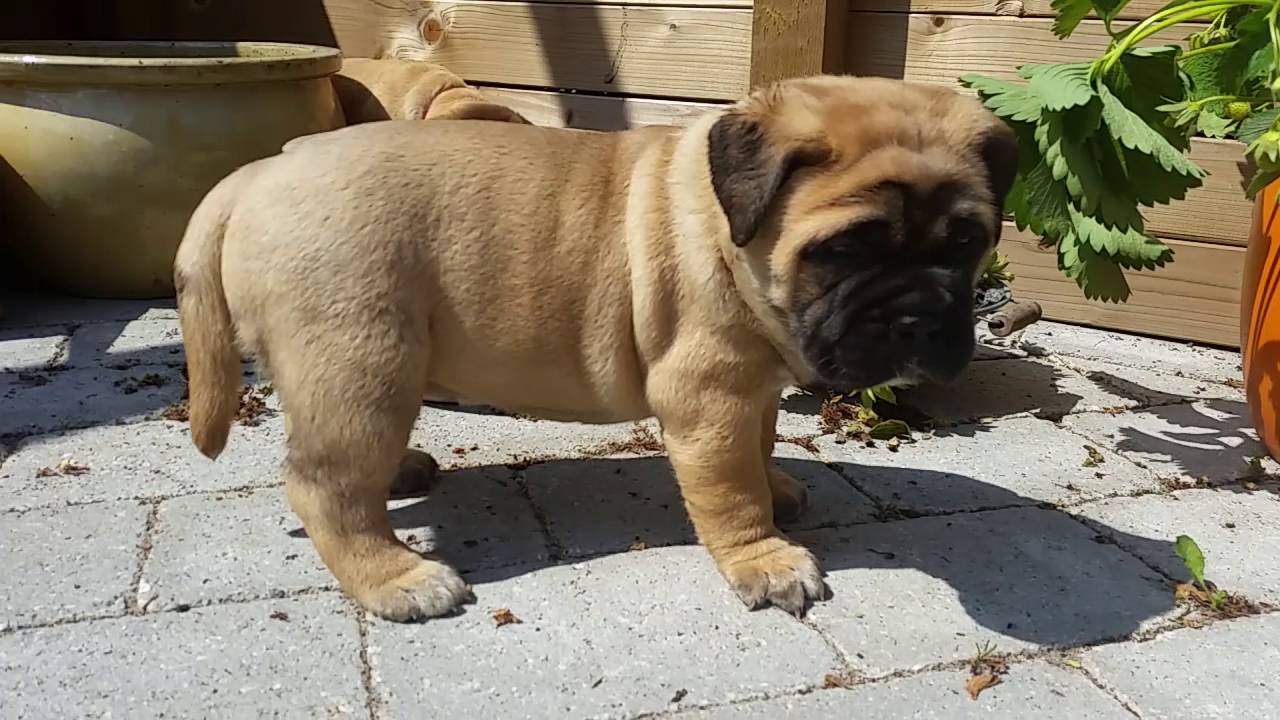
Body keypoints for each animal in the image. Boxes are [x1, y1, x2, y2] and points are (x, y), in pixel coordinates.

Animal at [175, 74, 1013, 622]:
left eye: (966, 243)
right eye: (844, 250)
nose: (918, 319)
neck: (727, 233)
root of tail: (260, 172)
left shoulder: (750, 387)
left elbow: (761, 442)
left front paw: (776, 486)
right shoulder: (708, 397)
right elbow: (729, 487)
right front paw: (763, 557)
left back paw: (403, 471)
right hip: (360, 361)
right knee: (326, 486)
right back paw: (397, 579)